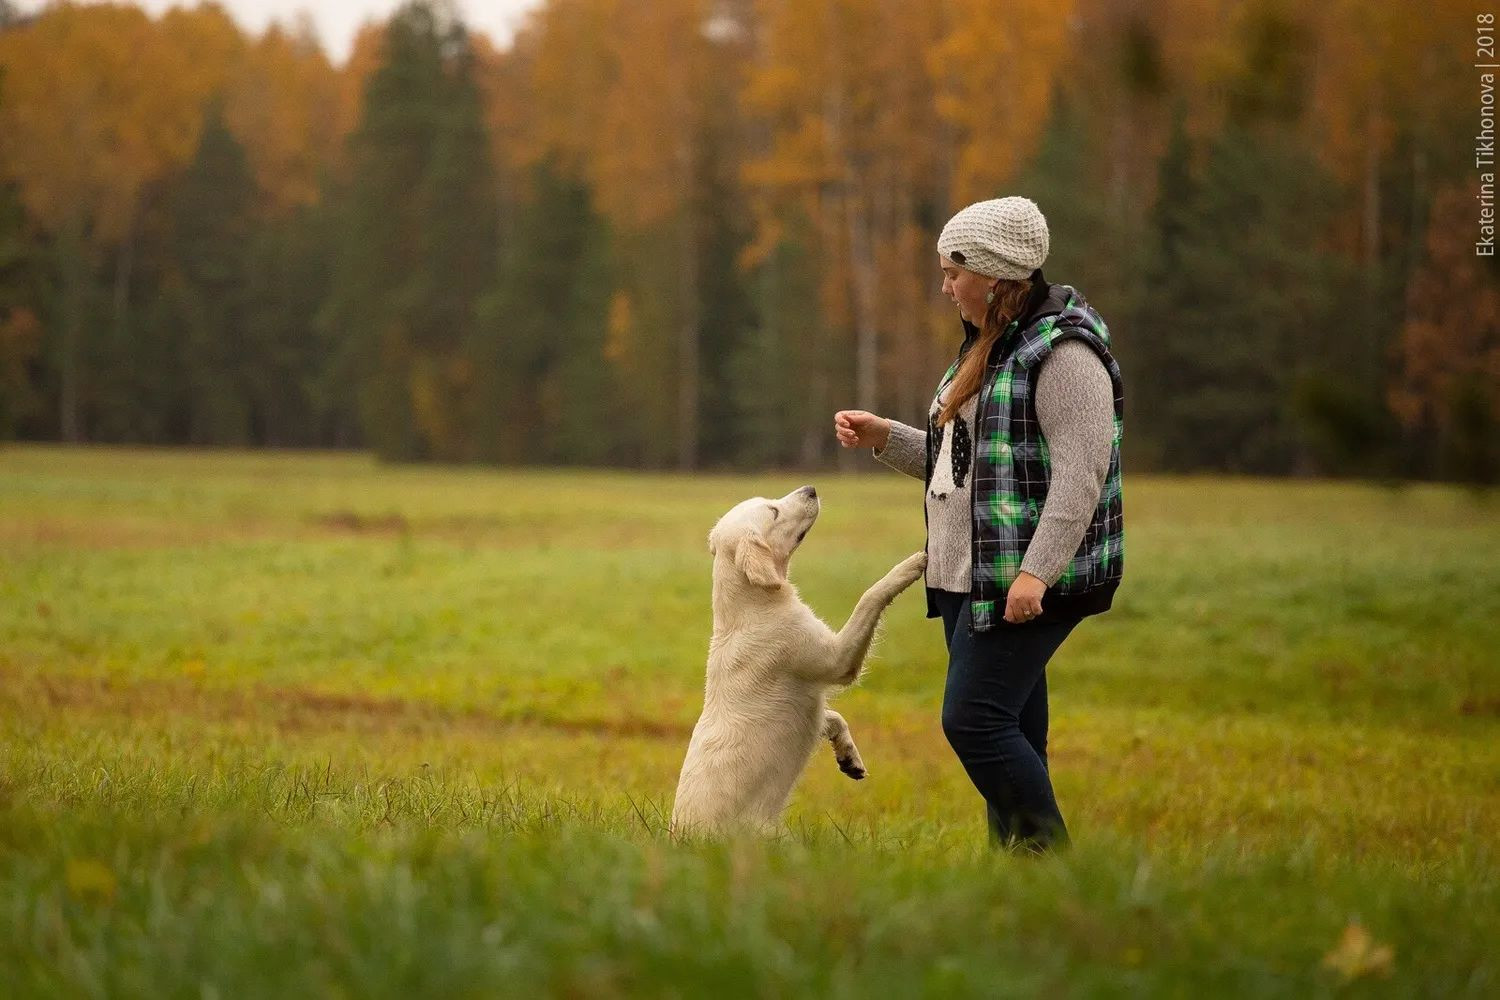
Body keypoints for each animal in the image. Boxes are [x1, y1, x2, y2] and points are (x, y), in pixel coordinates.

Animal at [669, 485, 924, 839]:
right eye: (774, 512)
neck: (752, 607)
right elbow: (870, 595)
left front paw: (848, 756)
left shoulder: (815, 699)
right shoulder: (837, 659)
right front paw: (911, 565)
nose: (811, 489)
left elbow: (833, 716)